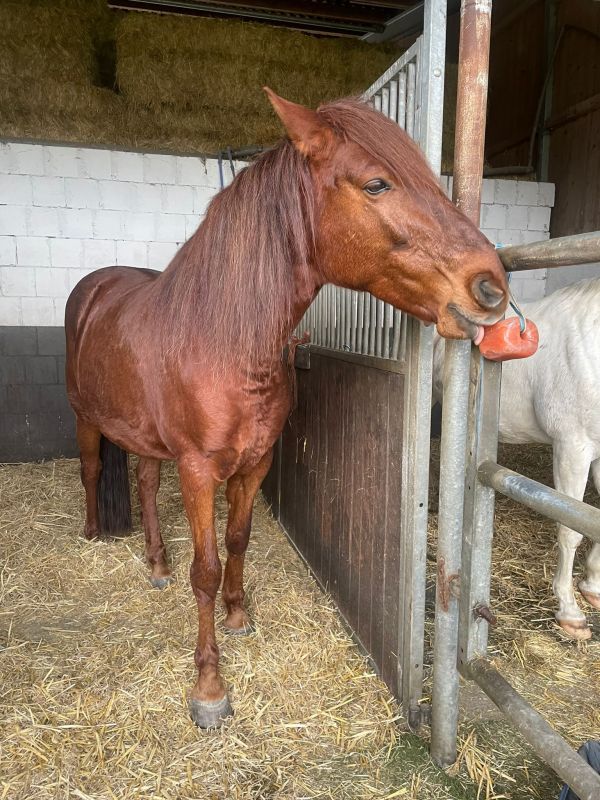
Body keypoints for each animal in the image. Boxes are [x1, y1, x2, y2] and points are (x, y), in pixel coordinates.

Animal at [64, 90, 506, 728]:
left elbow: (238, 541)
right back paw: (96, 536)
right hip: (85, 418)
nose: (491, 286)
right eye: (377, 184)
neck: (225, 341)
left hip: (148, 439)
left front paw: (238, 615)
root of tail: (94, 288)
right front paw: (209, 688)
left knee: (145, 483)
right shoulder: (197, 469)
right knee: (93, 469)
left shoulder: (255, 463)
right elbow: (205, 569)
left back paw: (156, 564)